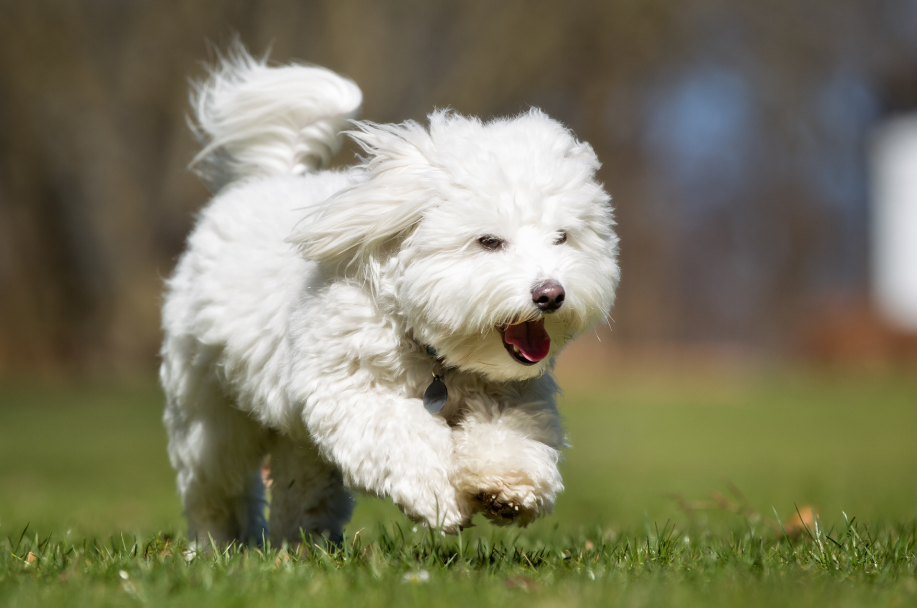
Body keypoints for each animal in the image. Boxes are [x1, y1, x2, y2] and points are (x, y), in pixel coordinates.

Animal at [161, 50, 620, 548]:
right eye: (489, 241)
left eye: (562, 237)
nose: (550, 293)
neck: (433, 351)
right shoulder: (351, 391)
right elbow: (405, 437)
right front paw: (441, 496)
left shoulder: (513, 394)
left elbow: (510, 434)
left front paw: (507, 485)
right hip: (209, 413)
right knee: (216, 485)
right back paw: (217, 544)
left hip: (294, 437)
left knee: (300, 482)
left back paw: (303, 542)